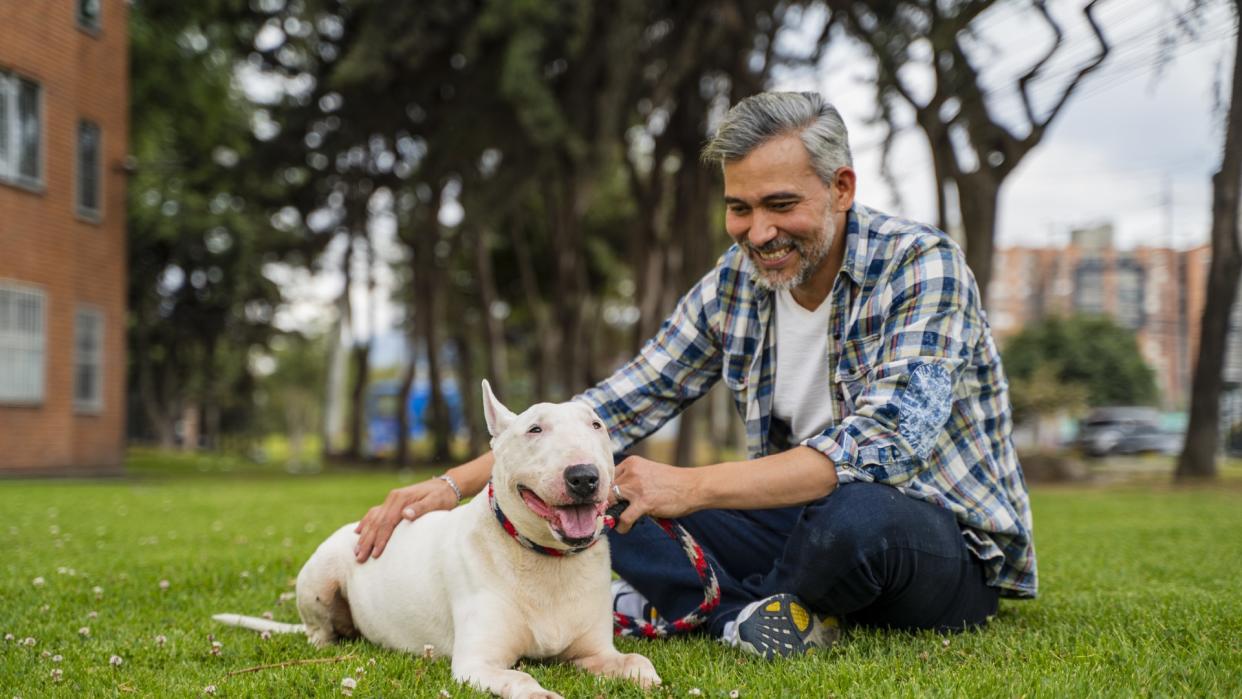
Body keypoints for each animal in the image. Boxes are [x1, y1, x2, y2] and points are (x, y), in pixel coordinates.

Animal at [216, 382, 660, 699]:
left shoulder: (595, 653)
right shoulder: (477, 663)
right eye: (534, 428)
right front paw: (542, 694)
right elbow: (520, 680)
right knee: (319, 631)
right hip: (320, 580)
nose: (583, 476)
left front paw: (647, 678)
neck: (545, 558)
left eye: (596, 426)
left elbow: (636, 660)